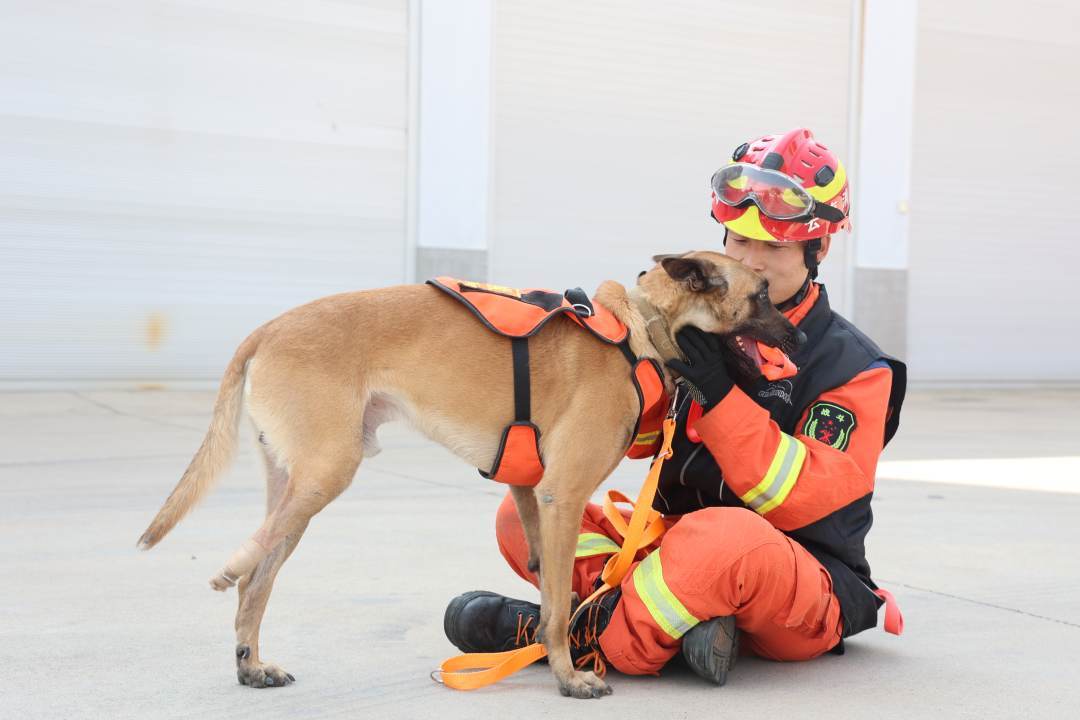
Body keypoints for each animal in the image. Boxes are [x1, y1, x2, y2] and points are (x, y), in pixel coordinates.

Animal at [137, 252, 803, 699]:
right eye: (763, 295)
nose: (798, 333)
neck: (636, 327)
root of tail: (267, 329)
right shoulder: (561, 497)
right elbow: (558, 606)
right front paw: (569, 677)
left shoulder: (532, 497)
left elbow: (552, 595)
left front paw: (552, 658)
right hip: (322, 476)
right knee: (252, 567)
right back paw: (231, 576)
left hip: (299, 487)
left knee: (258, 583)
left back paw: (251, 663)